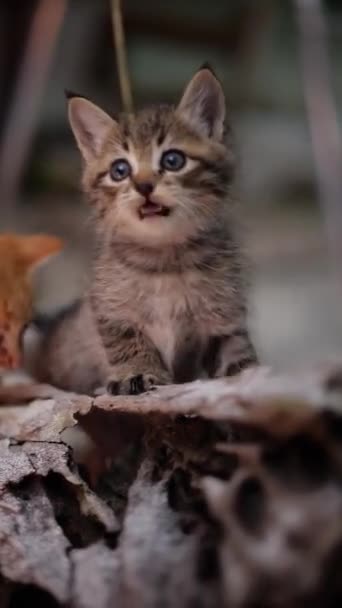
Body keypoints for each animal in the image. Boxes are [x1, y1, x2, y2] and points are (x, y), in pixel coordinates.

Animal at [36, 65, 258, 394]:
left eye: (173, 159)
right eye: (120, 170)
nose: (143, 186)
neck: (165, 258)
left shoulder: (224, 314)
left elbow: (236, 351)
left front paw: (250, 374)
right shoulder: (110, 308)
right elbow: (127, 340)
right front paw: (137, 373)